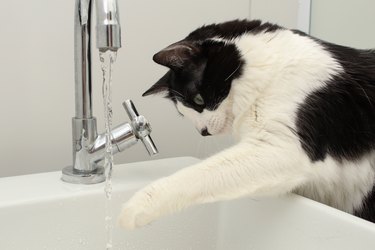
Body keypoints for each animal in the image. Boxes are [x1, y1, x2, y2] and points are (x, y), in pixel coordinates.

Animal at [119, 19, 375, 230]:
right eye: (184, 113)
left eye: (199, 100)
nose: (203, 132)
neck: (271, 70)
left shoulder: (281, 148)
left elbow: (199, 174)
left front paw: (134, 208)